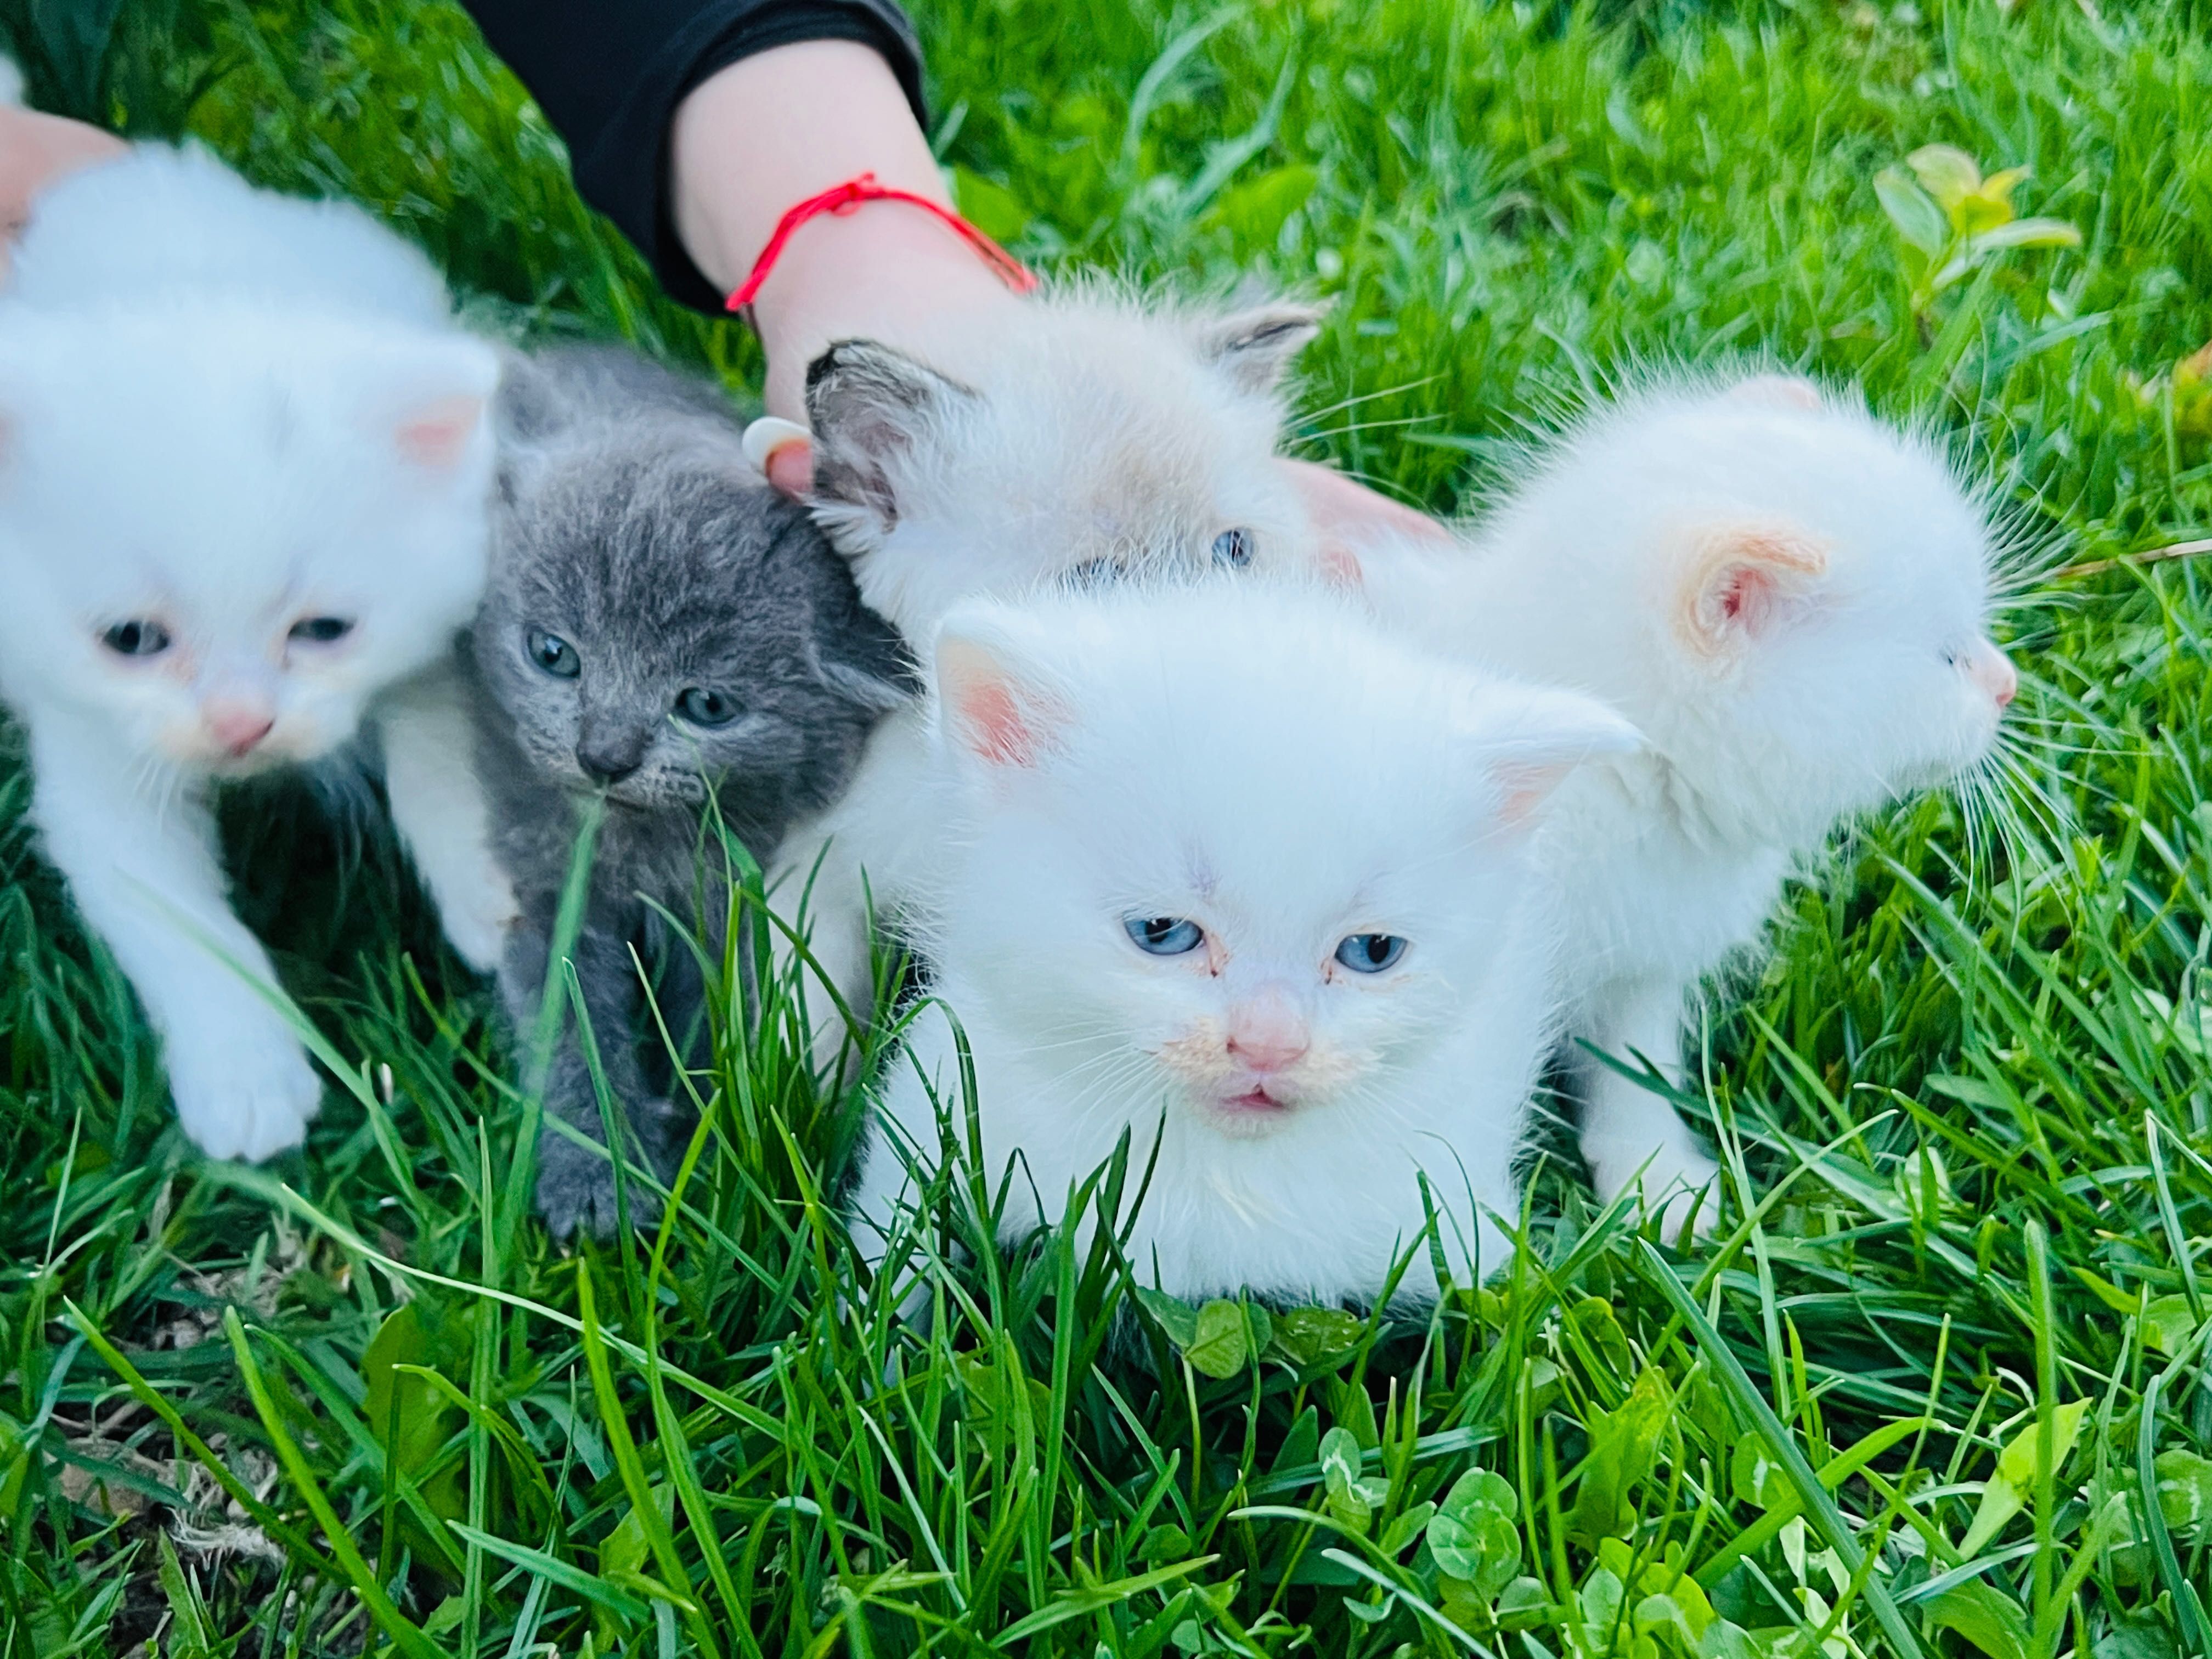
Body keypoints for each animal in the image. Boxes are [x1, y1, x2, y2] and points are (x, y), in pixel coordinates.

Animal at [0, 149, 498, 1159]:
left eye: (324, 630)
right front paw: (245, 1069)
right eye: (131, 639)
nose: (241, 724)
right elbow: (173, 918)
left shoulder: (440, 623)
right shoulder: (95, 752)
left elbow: (437, 753)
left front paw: (481, 885)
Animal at [471, 347, 911, 1238]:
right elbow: (568, 1022)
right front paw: (599, 1176)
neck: (647, 846)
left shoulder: (735, 903)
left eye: (707, 705)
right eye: (553, 654)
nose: (604, 755)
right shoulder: (548, 883)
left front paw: (715, 1159)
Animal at [845, 584, 1645, 1309]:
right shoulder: (941, 1100)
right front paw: (879, 1324)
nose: (1269, 1045)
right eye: (1162, 933)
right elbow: (893, 1255)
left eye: (1373, 951)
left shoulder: (1454, 1222)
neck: (1214, 1173)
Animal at [1345, 374, 2026, 1238]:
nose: (2007, 685)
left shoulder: (1640, 956)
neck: (1629, 775)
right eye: (1946, 659)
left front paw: (1654, 1176)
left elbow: (1634, 1065)